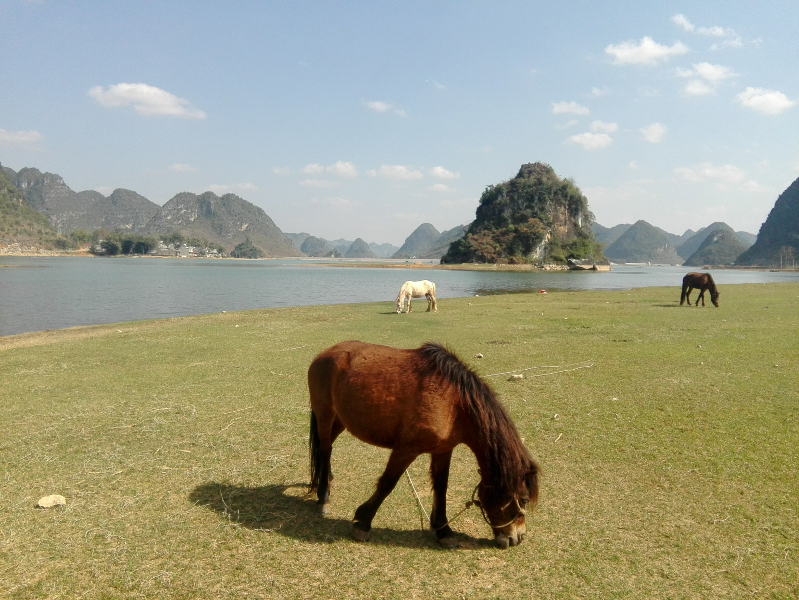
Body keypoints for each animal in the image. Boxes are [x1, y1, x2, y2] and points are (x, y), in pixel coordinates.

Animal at [310, 340, 540, 552]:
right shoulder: (406, 449)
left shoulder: (443, 450)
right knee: (325, 449)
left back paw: (328, 479)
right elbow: (387, 483)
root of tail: (326, 353)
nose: (517, 538)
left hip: (341, 419)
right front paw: (363, 523)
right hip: (325, 413)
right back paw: (323, 497)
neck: (454, 404)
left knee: (326, 447)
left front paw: (443, 530)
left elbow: (441, 486)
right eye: (523, 499)